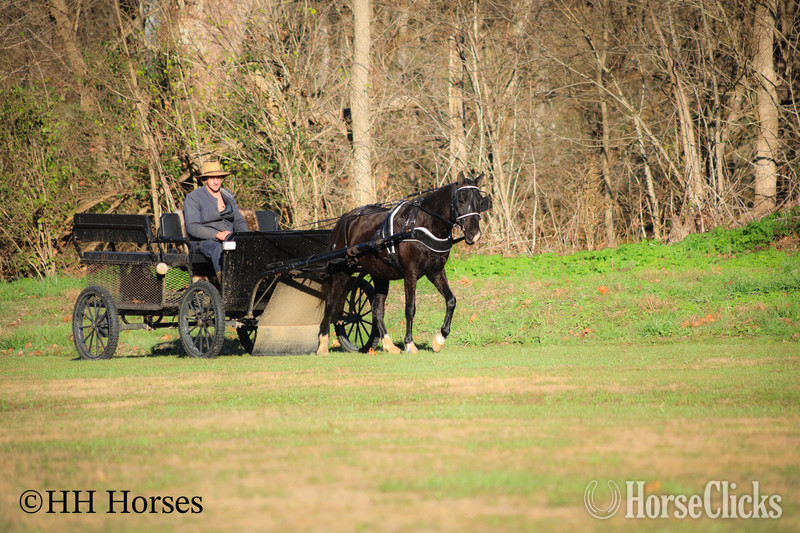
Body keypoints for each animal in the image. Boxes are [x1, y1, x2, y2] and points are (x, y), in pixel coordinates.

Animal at [317, 170, 490, 355]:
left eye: (480, 201)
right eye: (461, 200)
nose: (474, 234)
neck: (423, 224)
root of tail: (345, 219)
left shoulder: (435, 272)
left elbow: (451, 301)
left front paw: (439, 339)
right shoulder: (410, 274)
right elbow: (410, 309)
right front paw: (409, 344)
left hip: (380, 275)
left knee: (377, 310)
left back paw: (388, 344)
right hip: (342, 271)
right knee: (331, 304)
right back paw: (322, 345)